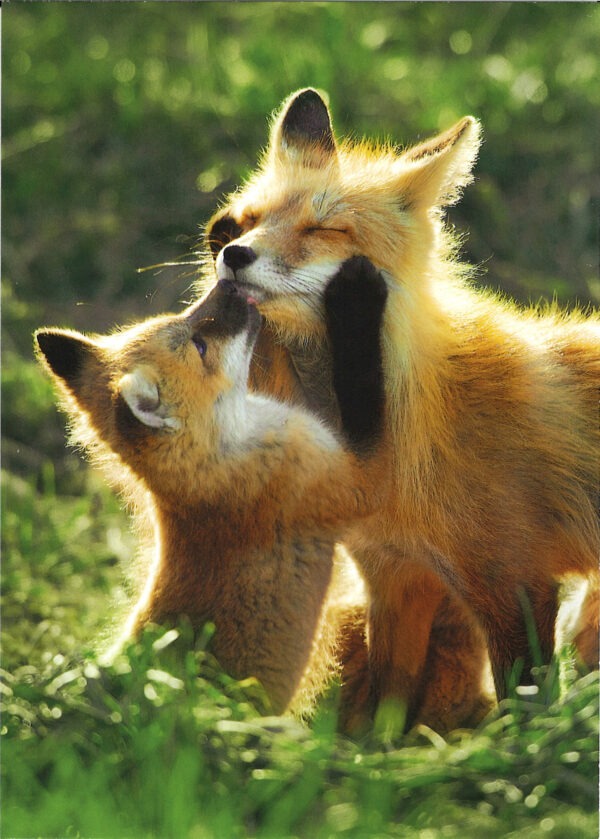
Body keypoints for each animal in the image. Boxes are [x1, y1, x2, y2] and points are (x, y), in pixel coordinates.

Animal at [35, 264, 390, 715]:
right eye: (200, 345)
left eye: (182, 317)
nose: (228, 283)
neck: (221, 465)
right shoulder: (357, 479)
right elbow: (362, 379)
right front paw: (357, 297)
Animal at [202, 87, 600, 731]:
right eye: (253, 219)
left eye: (325, 227)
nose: (233, 253)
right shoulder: (395, 576)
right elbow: (388, 705)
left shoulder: (512, 580)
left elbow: (527, 707)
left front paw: (517, 750)